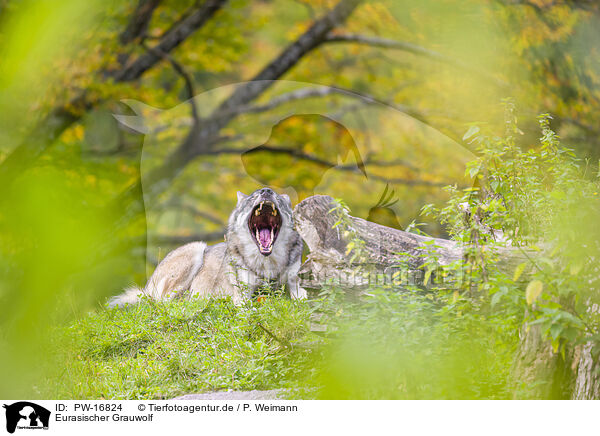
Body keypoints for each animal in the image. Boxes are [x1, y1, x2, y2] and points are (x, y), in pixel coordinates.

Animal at [108, 187, 308, 306]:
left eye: (277, 198)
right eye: (253, 198)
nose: (266, 190)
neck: (267, 264)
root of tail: (147, 287)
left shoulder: (294, 284)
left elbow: (300, 295)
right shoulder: (242, 294)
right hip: (196, 249)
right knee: (162, 302)